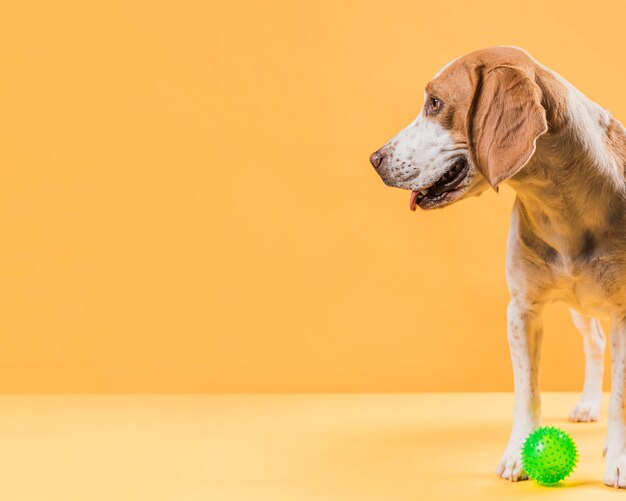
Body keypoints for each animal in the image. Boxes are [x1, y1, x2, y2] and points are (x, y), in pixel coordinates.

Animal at [368, 46, 626, 484]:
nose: (373, 159)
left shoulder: (623, 314)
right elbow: (527, 393)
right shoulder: (521, 311)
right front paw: (520, 455)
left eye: (434, 103)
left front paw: (619, 457)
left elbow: (621, 397)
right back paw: (590, 404)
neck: (562, 207)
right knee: (594, 345)